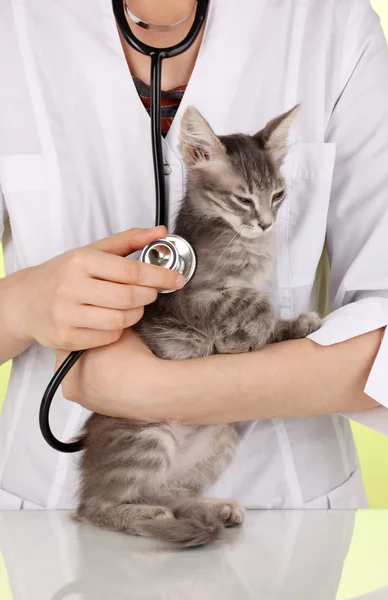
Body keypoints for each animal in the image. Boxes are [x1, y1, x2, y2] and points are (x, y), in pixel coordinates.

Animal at [76, 104, 322, 548]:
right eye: (243, 198)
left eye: (278, 195)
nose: (266, 223)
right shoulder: (194, 297)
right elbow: (255, 305)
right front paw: (241, 339)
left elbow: (264, 314)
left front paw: (291, 325)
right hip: (144, 435)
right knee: (97, 506)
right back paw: (142, 516)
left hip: (218, 440)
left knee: (165, 491)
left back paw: (211, 509)